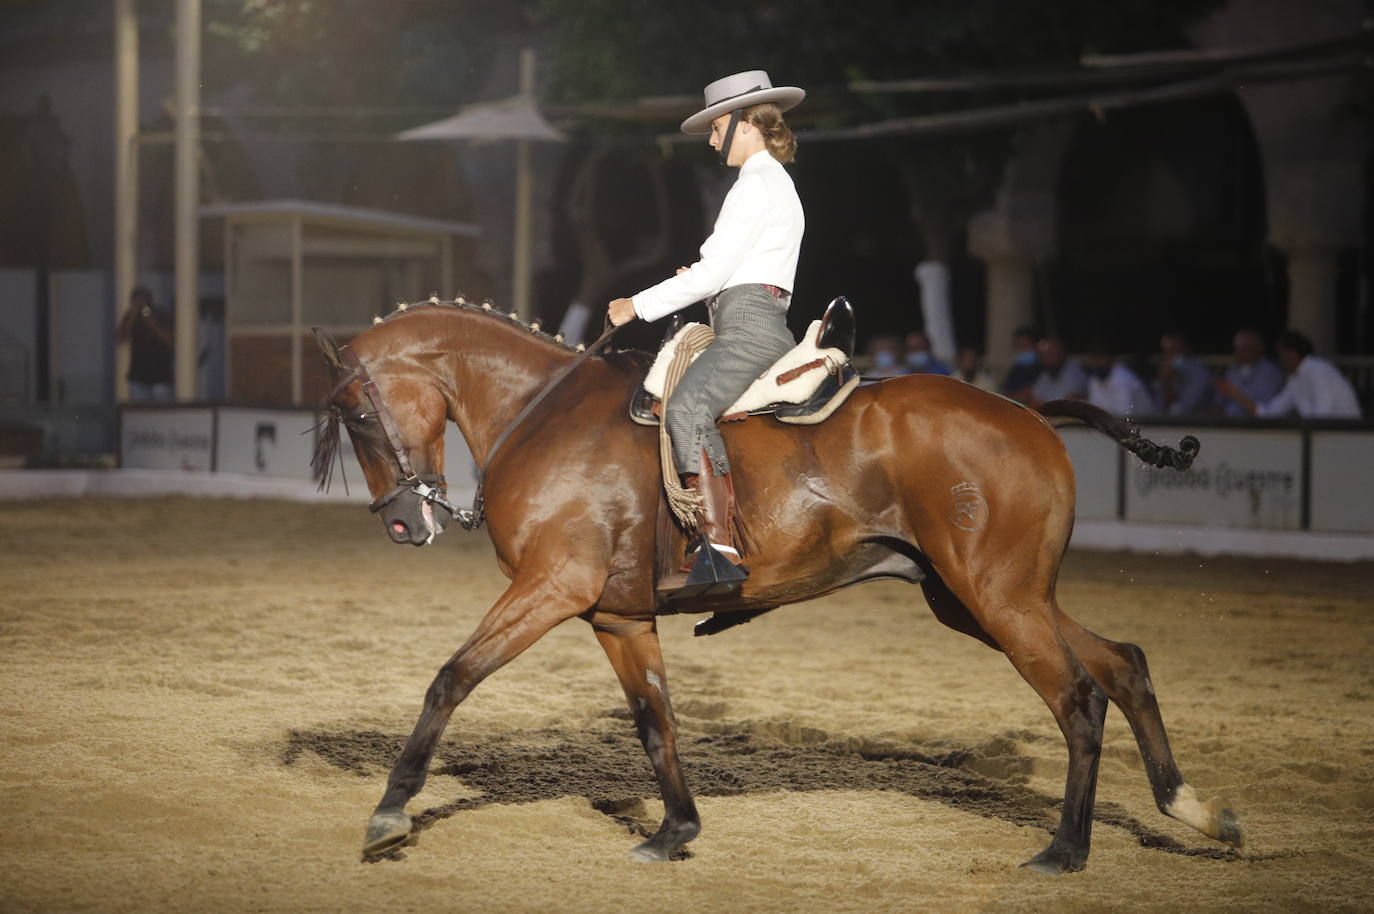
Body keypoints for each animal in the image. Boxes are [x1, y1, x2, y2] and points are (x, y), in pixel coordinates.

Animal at [314, 298, 1247, 868]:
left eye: (356, 414)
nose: (403, 523)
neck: (543, 416)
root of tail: (1025, 410)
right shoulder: (617, 617)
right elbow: (656, 723)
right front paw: (674, 830)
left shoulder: (552, 589)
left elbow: (451, 679)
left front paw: (389, 813)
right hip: (986, 599)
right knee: (1123, 663)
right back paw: (1192, 809)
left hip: (998, 597)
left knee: (1080, 696)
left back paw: (1065, 850)